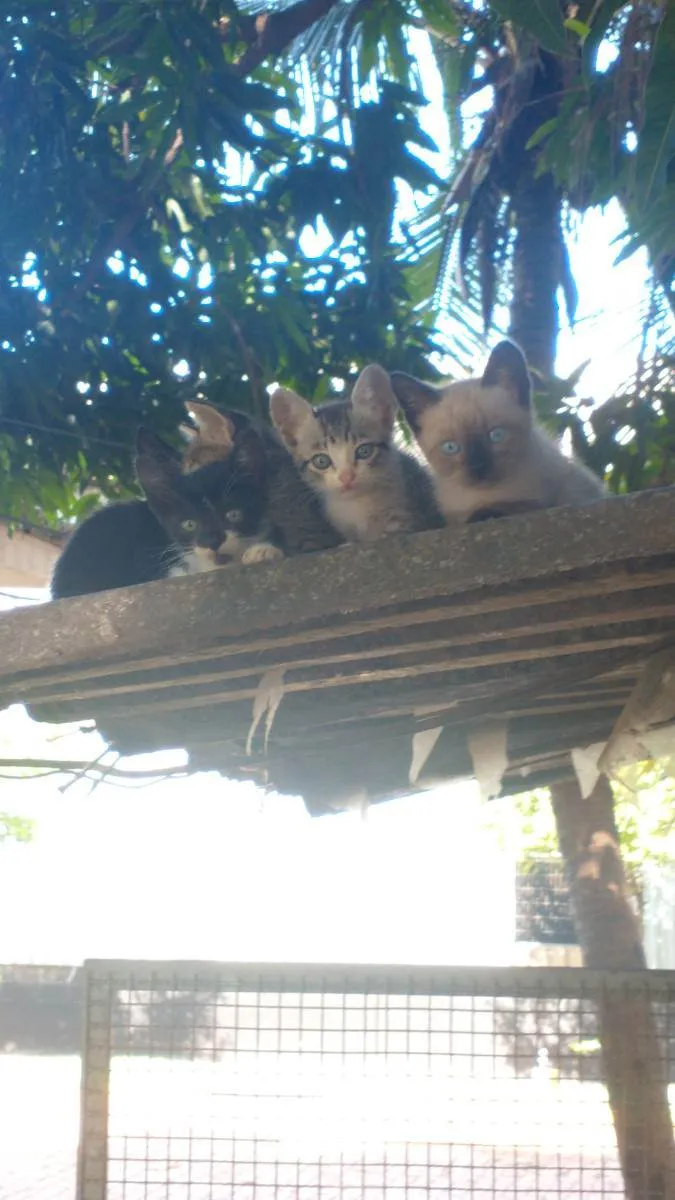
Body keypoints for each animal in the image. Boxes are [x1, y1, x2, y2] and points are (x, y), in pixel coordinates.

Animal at [389, 340, 605, 523]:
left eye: (497, 435)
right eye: (450, 447)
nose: (478, 466)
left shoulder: (557, 495)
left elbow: (519, 506)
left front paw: (486, 513)